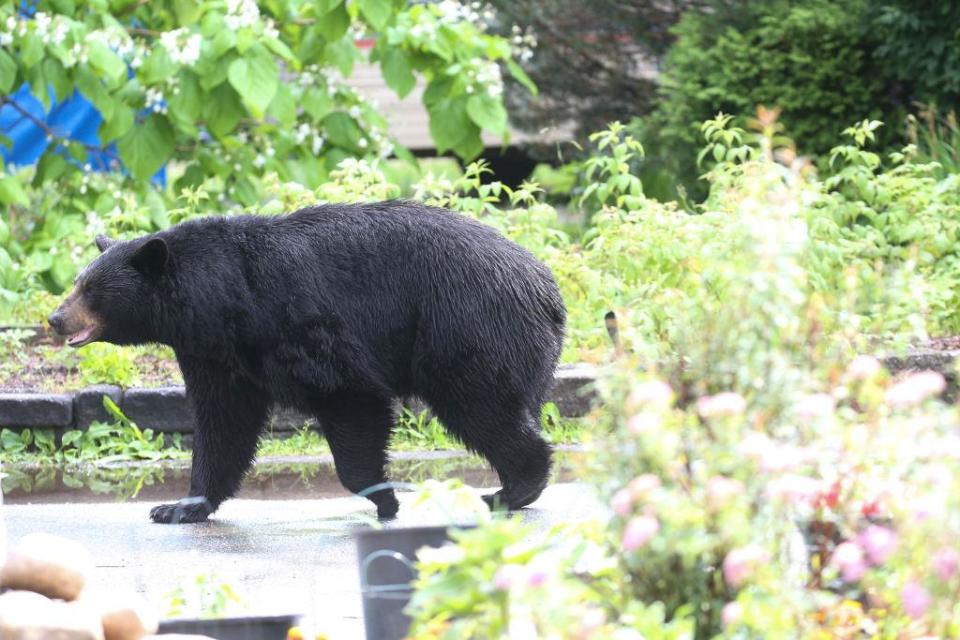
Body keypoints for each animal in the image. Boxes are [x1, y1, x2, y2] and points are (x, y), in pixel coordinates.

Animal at [48, 202, 568, 524]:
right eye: (77, 283)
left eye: (91, 289)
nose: (54, 318)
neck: (224, 298)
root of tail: (547, 287)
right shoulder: (215, 353)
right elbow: (223, 422)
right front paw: (178, 507)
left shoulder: (297, 322)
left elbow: (350, 393)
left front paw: (384, 498)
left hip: (466, 328)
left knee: (481, 406)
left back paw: (513, 488)